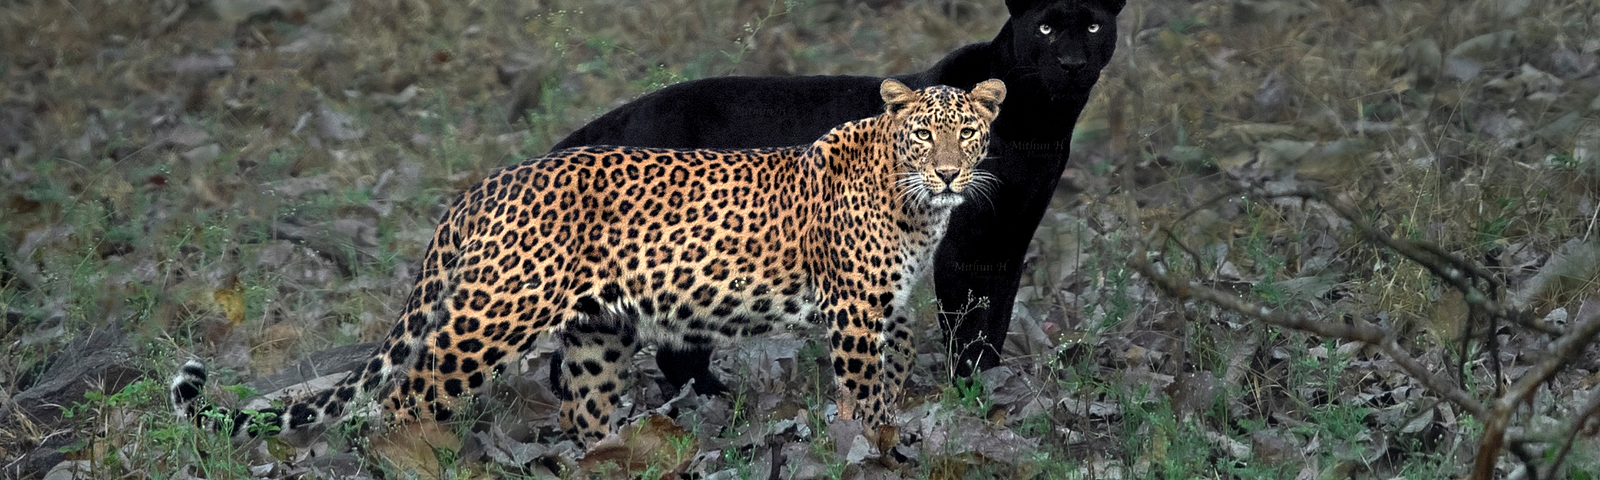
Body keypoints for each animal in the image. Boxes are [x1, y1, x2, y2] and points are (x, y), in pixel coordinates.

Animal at [172, 78, 998, 444]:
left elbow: (892, 375)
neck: (915, 204)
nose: (950, 174)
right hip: (491, 316)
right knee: (405, 397)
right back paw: (415, 454)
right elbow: (862, 393)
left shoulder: (887, 310)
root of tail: (480, 190)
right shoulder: (855, 311)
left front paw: (892, 429)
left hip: (597, 331)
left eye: (968, 132)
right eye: (923, 134)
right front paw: (869, 446)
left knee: (583, 406)